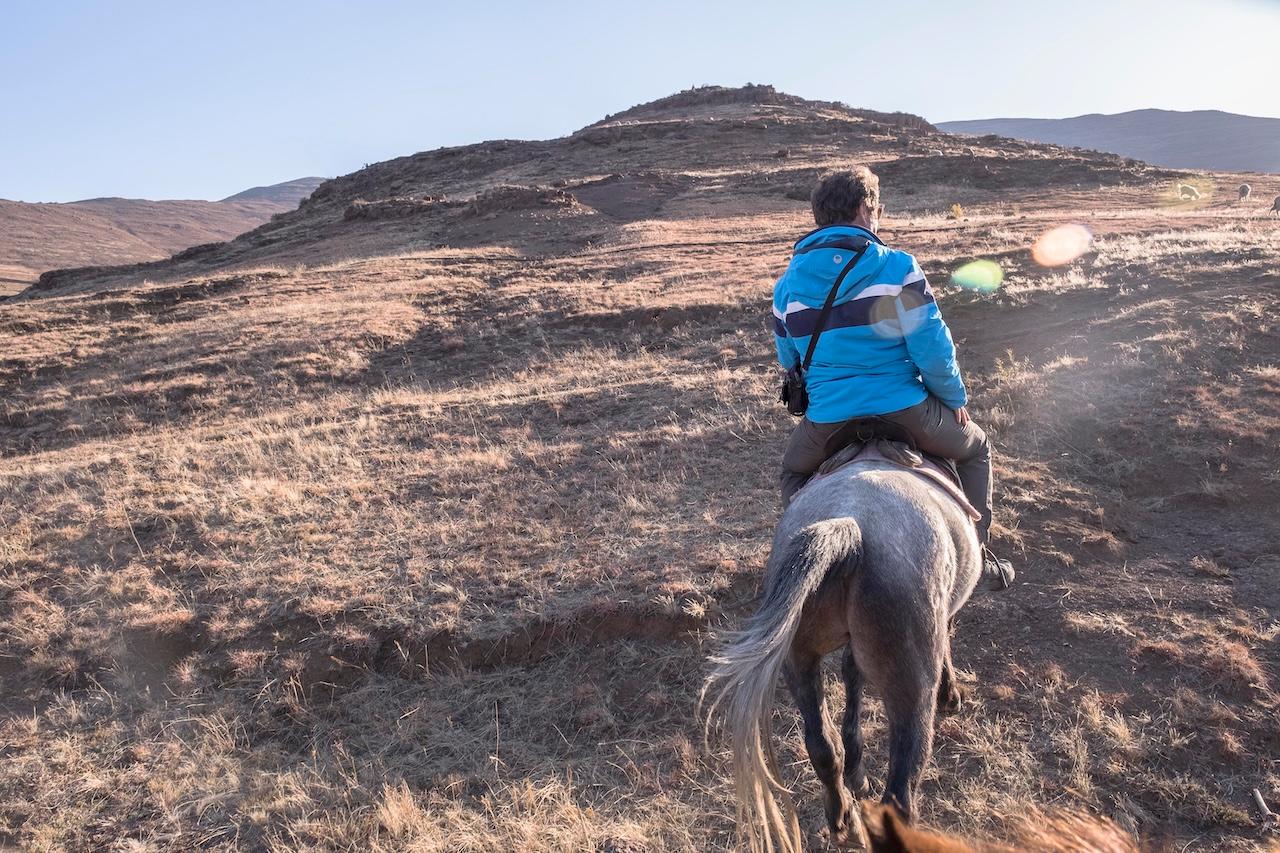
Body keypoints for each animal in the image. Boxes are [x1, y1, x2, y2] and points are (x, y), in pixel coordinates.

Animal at [704, 438, 984, 852]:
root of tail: (849, 525)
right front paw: (951, 692)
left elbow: (852, 675)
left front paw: (857, 768)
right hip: (911, 688)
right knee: (901, 793)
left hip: (798, 660)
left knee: (822, 746)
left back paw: (842, 817)